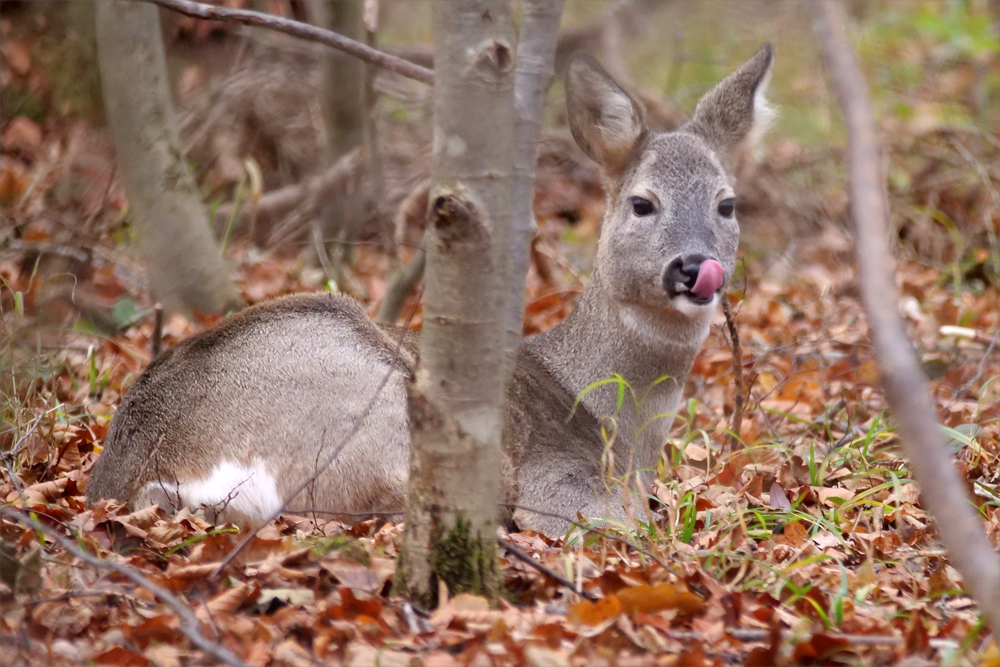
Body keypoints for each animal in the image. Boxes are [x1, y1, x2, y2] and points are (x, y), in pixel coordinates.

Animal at [88, 45, 772, 536]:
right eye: (642, 203)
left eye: (727, 204)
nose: (694, 267)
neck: (618, 432)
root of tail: (153, 474)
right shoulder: (560, 482)